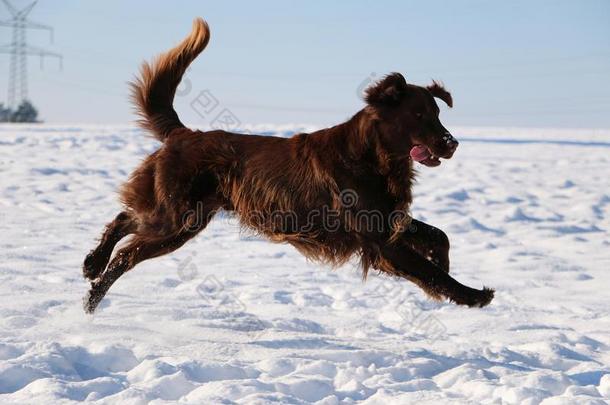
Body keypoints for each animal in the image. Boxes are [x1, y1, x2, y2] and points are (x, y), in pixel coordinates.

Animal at [83, 18, 494, 312]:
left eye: (438, 113)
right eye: (419, 114)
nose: (452, 143)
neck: (373, 157)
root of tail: (183, 134)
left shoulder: (387, 221)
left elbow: (438, 235)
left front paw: (444, 260)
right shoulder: (379, 241)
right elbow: (430, 274)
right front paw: (474, 294)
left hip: (185, 218)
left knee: (125, 222)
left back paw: (91, 269)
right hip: (176, 217)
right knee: (127, 244)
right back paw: (93, 292)